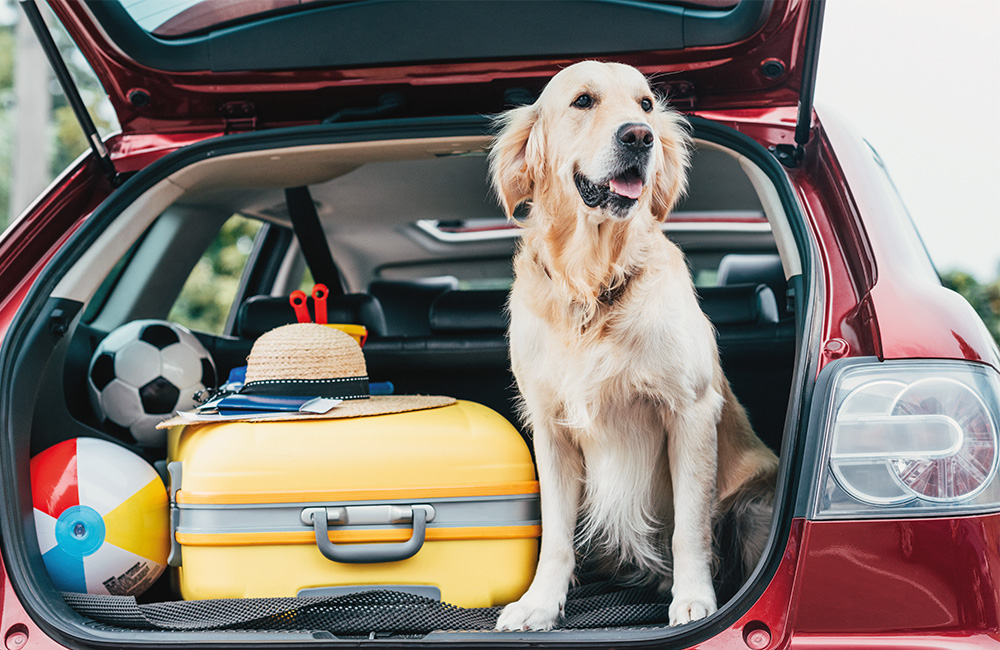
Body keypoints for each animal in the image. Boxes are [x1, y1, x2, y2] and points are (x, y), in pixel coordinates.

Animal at [492, 60, 780, 628]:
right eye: (583, 100)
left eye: (646, 104)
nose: (640, 136)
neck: (593, 285)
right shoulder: (550, 426)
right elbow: (555, 535)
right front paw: (539, 603)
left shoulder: (689, 411)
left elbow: (690, 527)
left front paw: (694, 599)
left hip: (754, 502)